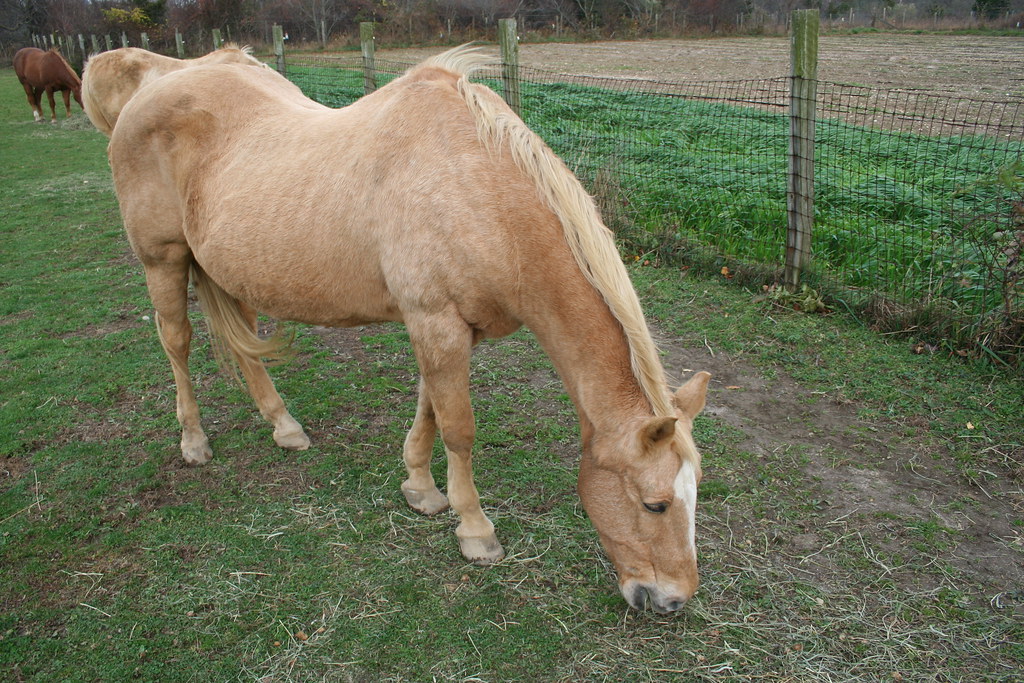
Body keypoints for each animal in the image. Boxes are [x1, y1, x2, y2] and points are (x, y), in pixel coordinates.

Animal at [103, 47, 712, 614]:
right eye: (655, 503)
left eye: (694, 494)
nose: (673, 599)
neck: (481, 193)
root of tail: (159, 80)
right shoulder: (434, 321)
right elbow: (459, 429)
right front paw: (475, 531)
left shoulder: (448, 328)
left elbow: (429, 407)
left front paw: (419, 487)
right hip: (163, 261)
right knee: (176, 342)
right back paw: (193, 441)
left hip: (230, 272)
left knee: (247, 348)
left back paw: (285, 427)